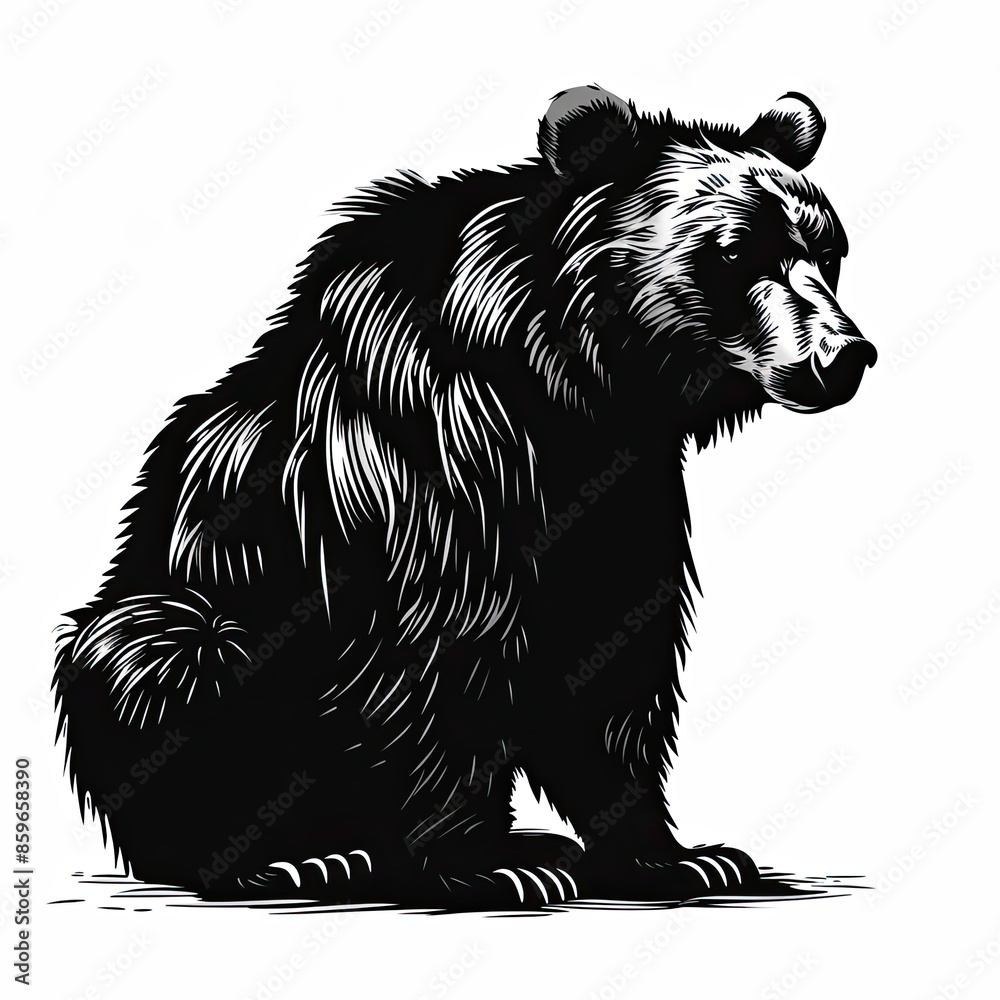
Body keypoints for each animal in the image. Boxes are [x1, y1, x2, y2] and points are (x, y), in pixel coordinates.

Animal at [53, 85, 875, 909]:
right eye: (733, 251)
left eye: (828, 249)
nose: (845, 354)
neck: (570, 384)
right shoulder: (435, 463)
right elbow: (445, 652)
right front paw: (489, 867)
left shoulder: (624, 487)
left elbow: (614, 656)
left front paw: (676, 856)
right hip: (192, 612)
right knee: (167, 655)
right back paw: (294, 857)